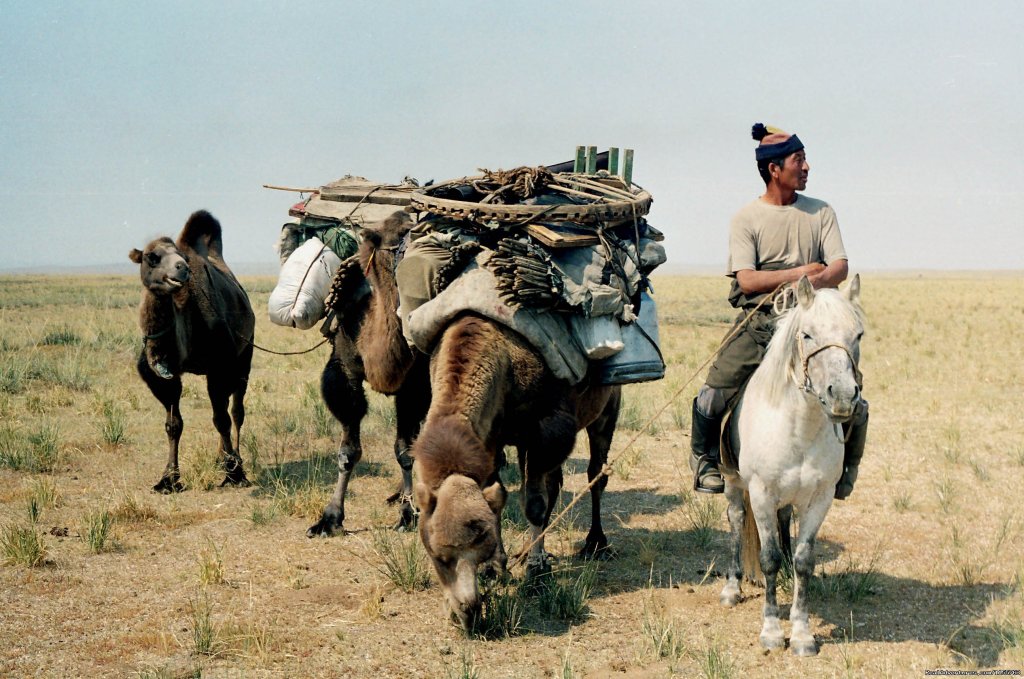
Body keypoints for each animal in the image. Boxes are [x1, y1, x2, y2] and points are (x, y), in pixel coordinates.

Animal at [128, 209, 256, 491]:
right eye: (151, 257)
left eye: (181, 257)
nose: (181, 268)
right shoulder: (165, 377)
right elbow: (173, 424)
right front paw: (168, 479)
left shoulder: (220, 366)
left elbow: (221, 419)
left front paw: (235, 474)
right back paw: (222, 457)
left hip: (245, 355)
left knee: (236, 411)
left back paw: (235, 457)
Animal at [303, 209, 432, 540]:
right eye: (397, 237)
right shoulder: (343, 369)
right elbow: (348, 451)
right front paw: (329, 519)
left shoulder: (414, 382)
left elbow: (404, 451)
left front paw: (408, 515)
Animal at [411, 315, 618, 630]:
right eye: (436, 555)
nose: (467, 612)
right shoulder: (489, 437)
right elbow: (497, 494)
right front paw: (497, 566)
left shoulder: (544, 430)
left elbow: (532, 504)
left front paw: (536, 572)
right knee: (554, 482)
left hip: (608, 406)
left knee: (596, 473)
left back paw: (594, 543)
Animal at [720, 274, 864, 655]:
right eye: (808, 334)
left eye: (858, 335)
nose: (843, 397)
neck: (799, 427)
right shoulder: (761, 494)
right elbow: (767, 558)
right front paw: (771, 631)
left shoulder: (820, 498)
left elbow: (804, 561)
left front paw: (801, 633)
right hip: (732, 482)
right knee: (736, 520)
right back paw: (732, 587)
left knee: (783, 520)